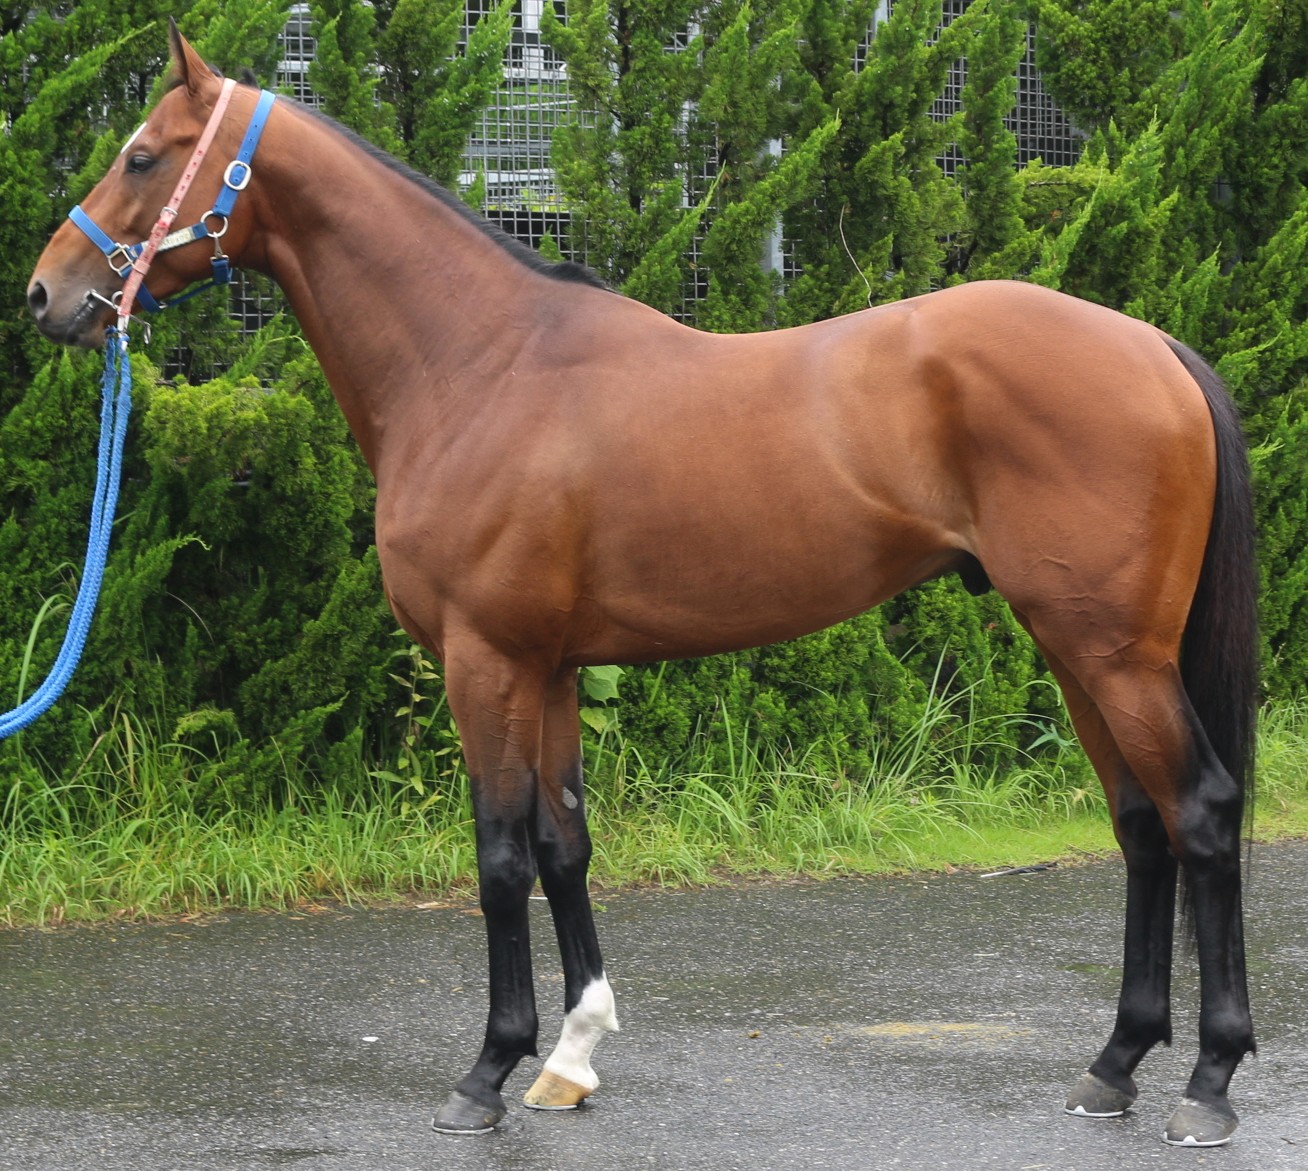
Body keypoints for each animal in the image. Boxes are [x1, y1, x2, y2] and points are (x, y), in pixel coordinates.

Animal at [27, 26, 1259, 1148]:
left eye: (142, 155)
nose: (48, 295)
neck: (480, 365)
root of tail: (1154, 347)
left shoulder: (486, 661)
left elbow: (499, 857)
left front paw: (487, 1071)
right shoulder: (554, 668)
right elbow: (565, 847)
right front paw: (570, 1056)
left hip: (1112, 653)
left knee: (1199, 812)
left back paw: (1207, 1083)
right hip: (1075, 646)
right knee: (1141, 824)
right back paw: (1114, 1063)